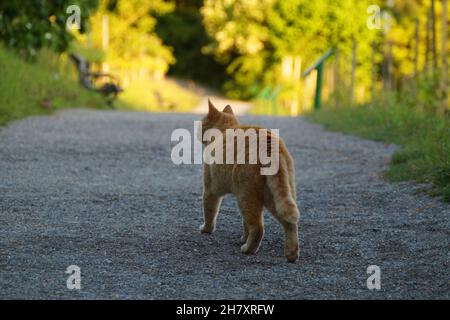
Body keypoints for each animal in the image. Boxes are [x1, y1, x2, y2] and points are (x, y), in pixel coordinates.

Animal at [200, 100, 298, 262]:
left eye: (202, 122)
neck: (225, 130)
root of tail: (270, 145)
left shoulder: (210, 190)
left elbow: (210, 212)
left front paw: (207, 229)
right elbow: (245, 224)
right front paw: (243, 238)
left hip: (247, 196)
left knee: (258, 228)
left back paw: (248, 249)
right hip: (274, 197)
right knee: (290, 223)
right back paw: (291, 254)